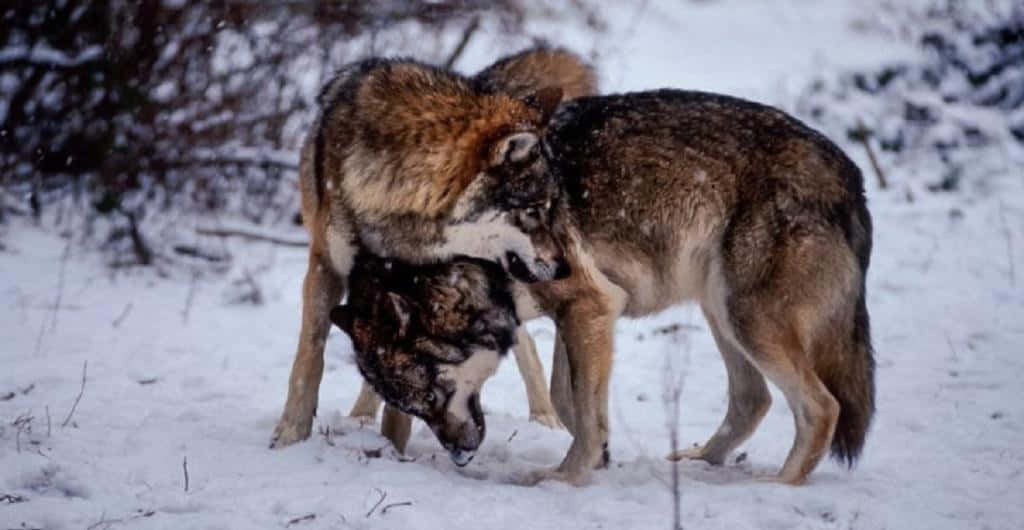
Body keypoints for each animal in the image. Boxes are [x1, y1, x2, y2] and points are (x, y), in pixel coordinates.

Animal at [270, 47, 598, 450]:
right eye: (534, 211)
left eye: (554, 208)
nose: (565, 267)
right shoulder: (325, 266)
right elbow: (310, 356)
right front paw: (289, 435)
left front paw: (394, 448)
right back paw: (360, 416)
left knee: (525, 345)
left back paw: (546, 419)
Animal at [344, 89, 872, 489]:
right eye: (414, 406)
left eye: (434, 395)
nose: (460, 453)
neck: (477, 254)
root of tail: (851, 174)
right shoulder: (580, 314)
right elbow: (568, 399)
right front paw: (599, 458)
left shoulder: (589, 307)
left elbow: (583, 410)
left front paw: (565, 478)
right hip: (722, 313)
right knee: (752, 400)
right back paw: (701, 460)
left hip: (747, 320)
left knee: (822, 407)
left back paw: (779, 485)